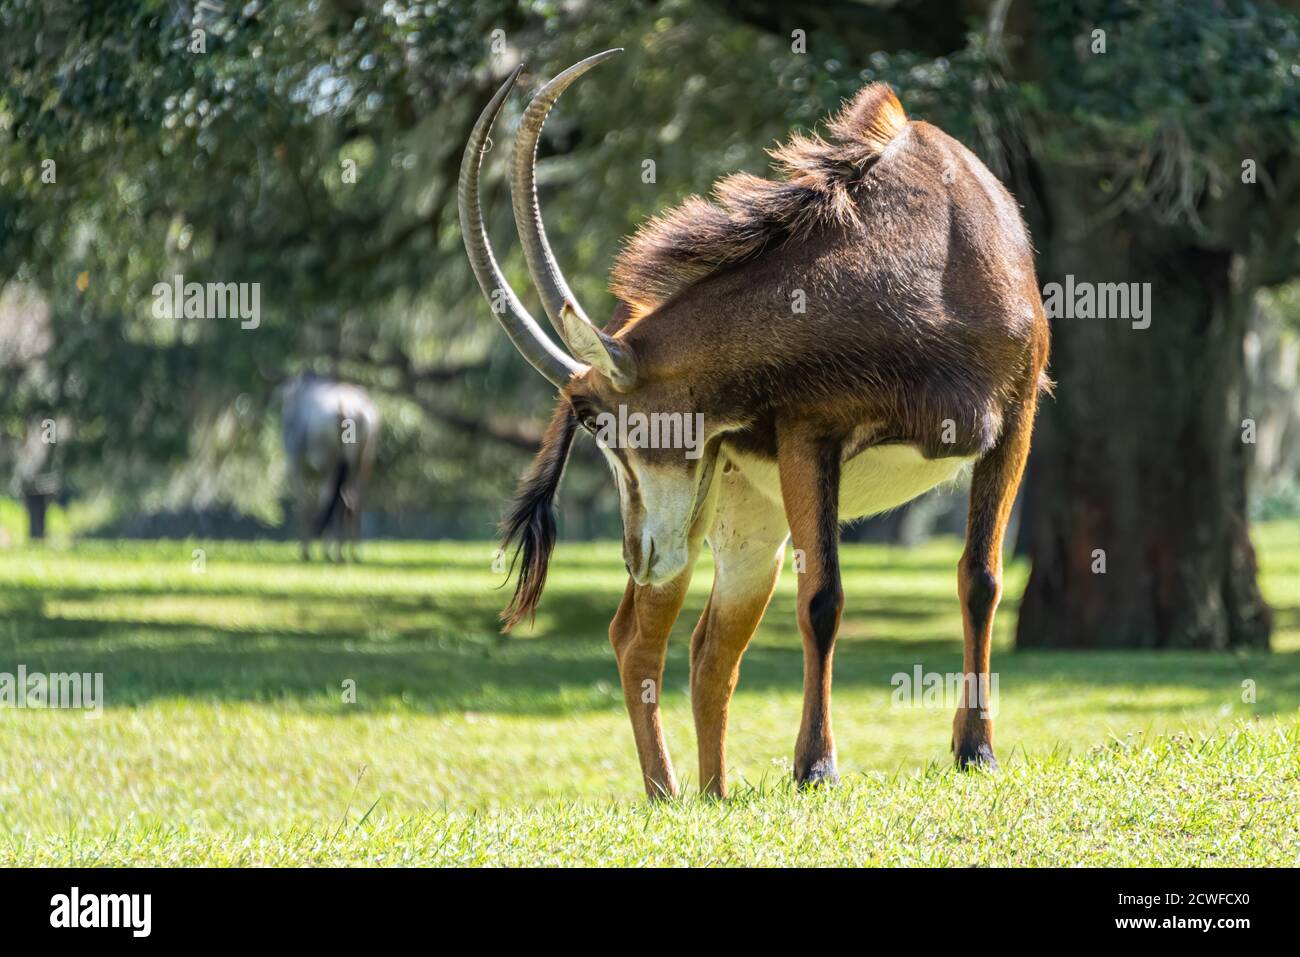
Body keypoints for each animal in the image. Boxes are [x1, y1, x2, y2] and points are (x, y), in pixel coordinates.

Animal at [274, 371, 377, 561]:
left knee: (333, 501)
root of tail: (347, 408)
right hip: (362, 465)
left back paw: (332, 552)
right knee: (352, 502)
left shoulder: (296, 467)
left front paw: (306, 551)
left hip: (330, 466)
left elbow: (303, 506)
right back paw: (350, 552)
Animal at [462, 52, 1050, 800]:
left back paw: (713, 793)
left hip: (743, 539)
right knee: (636, 638)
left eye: (598, 421)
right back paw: (666, 794)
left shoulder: (1015, 422)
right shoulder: (810, 436)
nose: (633, 555)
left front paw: (976, 748)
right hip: (704, 533)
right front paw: (816, 765)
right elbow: (823, 601)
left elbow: (982, 581)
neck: (930, 252)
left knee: (709, 649)